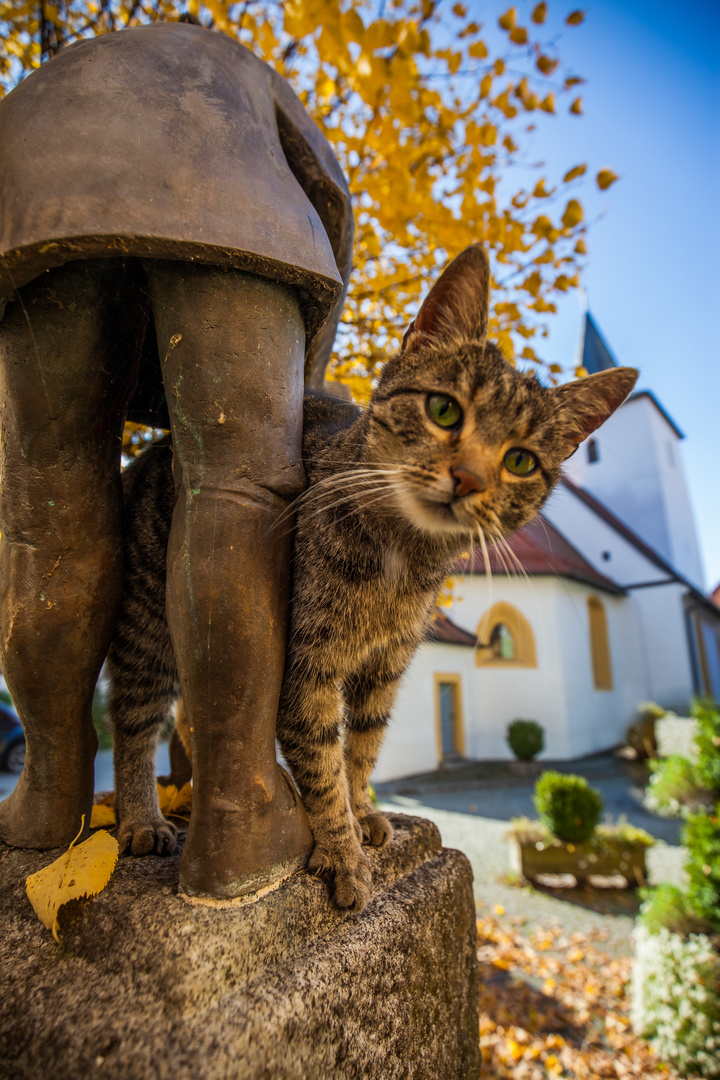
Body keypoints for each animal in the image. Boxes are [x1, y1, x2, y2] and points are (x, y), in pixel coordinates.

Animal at [106, 245, 634, 911]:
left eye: (520, 460)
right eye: (443, 409)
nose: (468, 478)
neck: (400, 560)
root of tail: (146, 453)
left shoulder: (384, 669)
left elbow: (361, 750)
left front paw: (361, 817)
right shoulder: (306, 667)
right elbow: (322, 759)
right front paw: (342, 851)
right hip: (148, 627)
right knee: (133, 725)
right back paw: (142, 818)